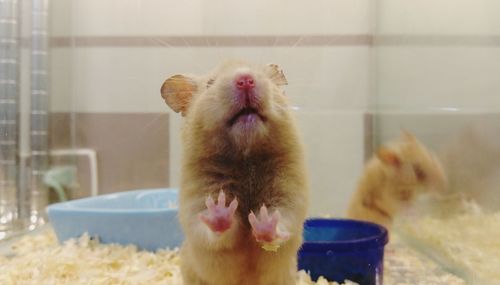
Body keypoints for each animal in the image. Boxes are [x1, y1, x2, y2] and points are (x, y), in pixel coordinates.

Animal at [160, 58, 308, 282]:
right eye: (210, 83)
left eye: (260, 75)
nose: (245, 79)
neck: (246, 158)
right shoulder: (196, 203)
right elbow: (210, 229)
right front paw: (220, 207)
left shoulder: (290, 195)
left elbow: (283, 220)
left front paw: (263, 219)